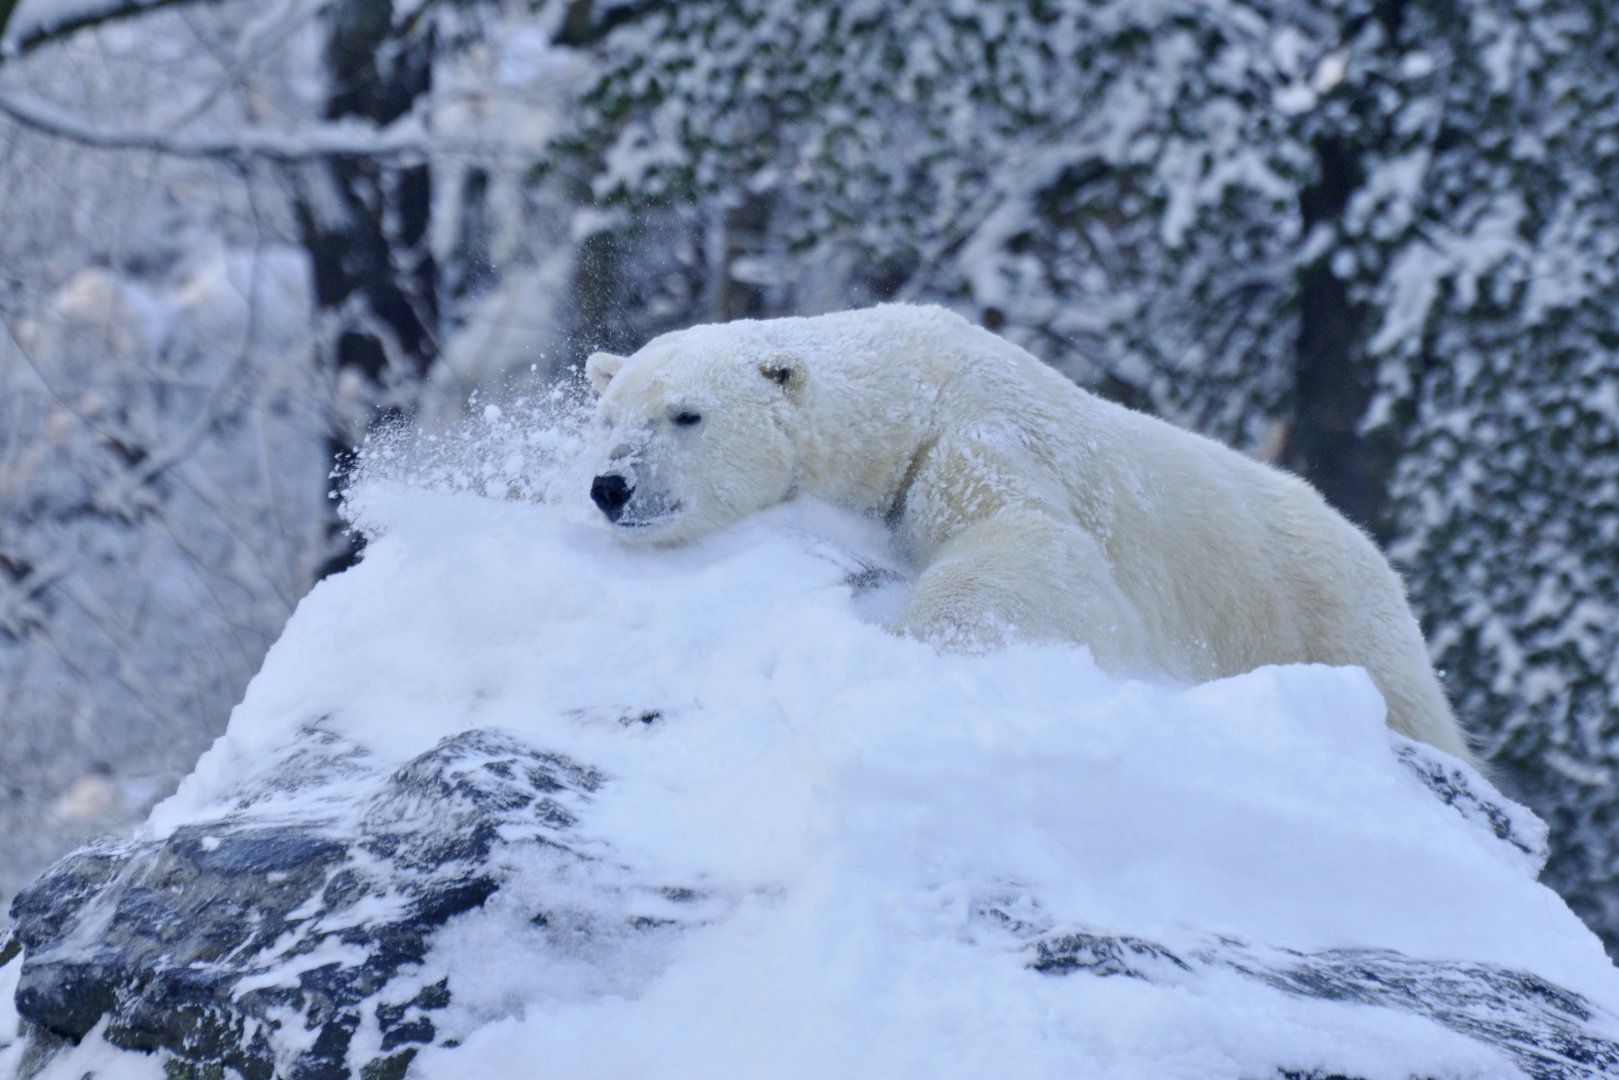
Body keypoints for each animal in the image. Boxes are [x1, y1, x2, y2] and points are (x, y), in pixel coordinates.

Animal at [584, 304, 1472, 762]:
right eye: (608, 417)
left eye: (686, 415)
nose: (609, 486)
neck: (904, 388)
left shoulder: (968, 440)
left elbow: (1029, 545)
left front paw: (902, 646)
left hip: (1328, 613)